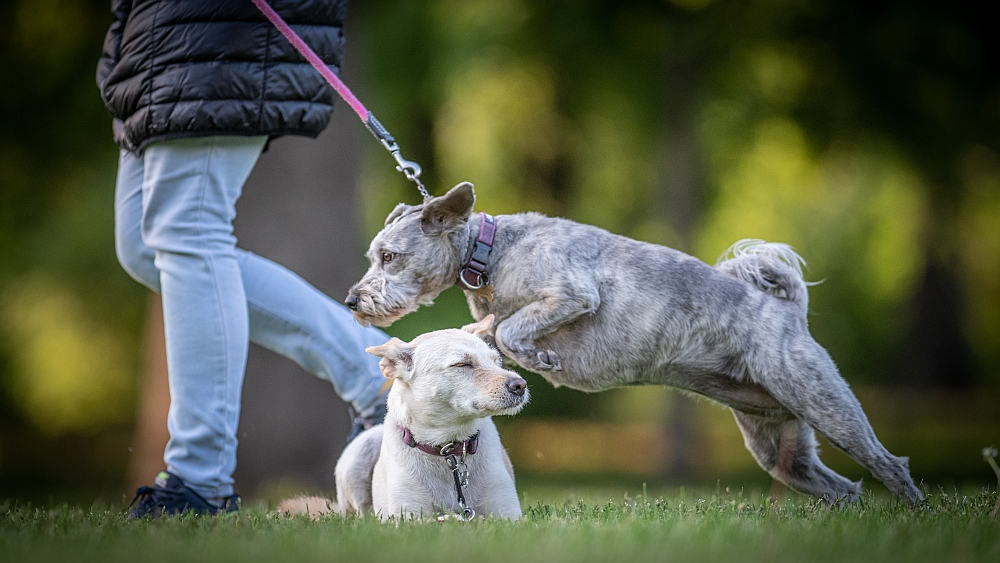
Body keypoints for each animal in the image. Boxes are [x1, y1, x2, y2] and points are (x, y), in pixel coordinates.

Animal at [278, 316, 528, 524]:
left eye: (497, 361)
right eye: (462, 364)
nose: (520, 385)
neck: (447, 449)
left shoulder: (509, 516)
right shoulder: (405, 517)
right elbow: (434, 521)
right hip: (360, 451)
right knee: (360, 516)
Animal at [346, 183, 920, 504]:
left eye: (389, 257)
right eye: (375, 256)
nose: (352, 299)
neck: (494, 252)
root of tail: (788, 310)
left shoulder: (575, 293)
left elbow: (510, 332)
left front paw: (537, 356)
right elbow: (498, 335)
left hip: (823, 400)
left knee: (891, 466)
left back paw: (917, 515)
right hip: (777, 443)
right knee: (843, 489)